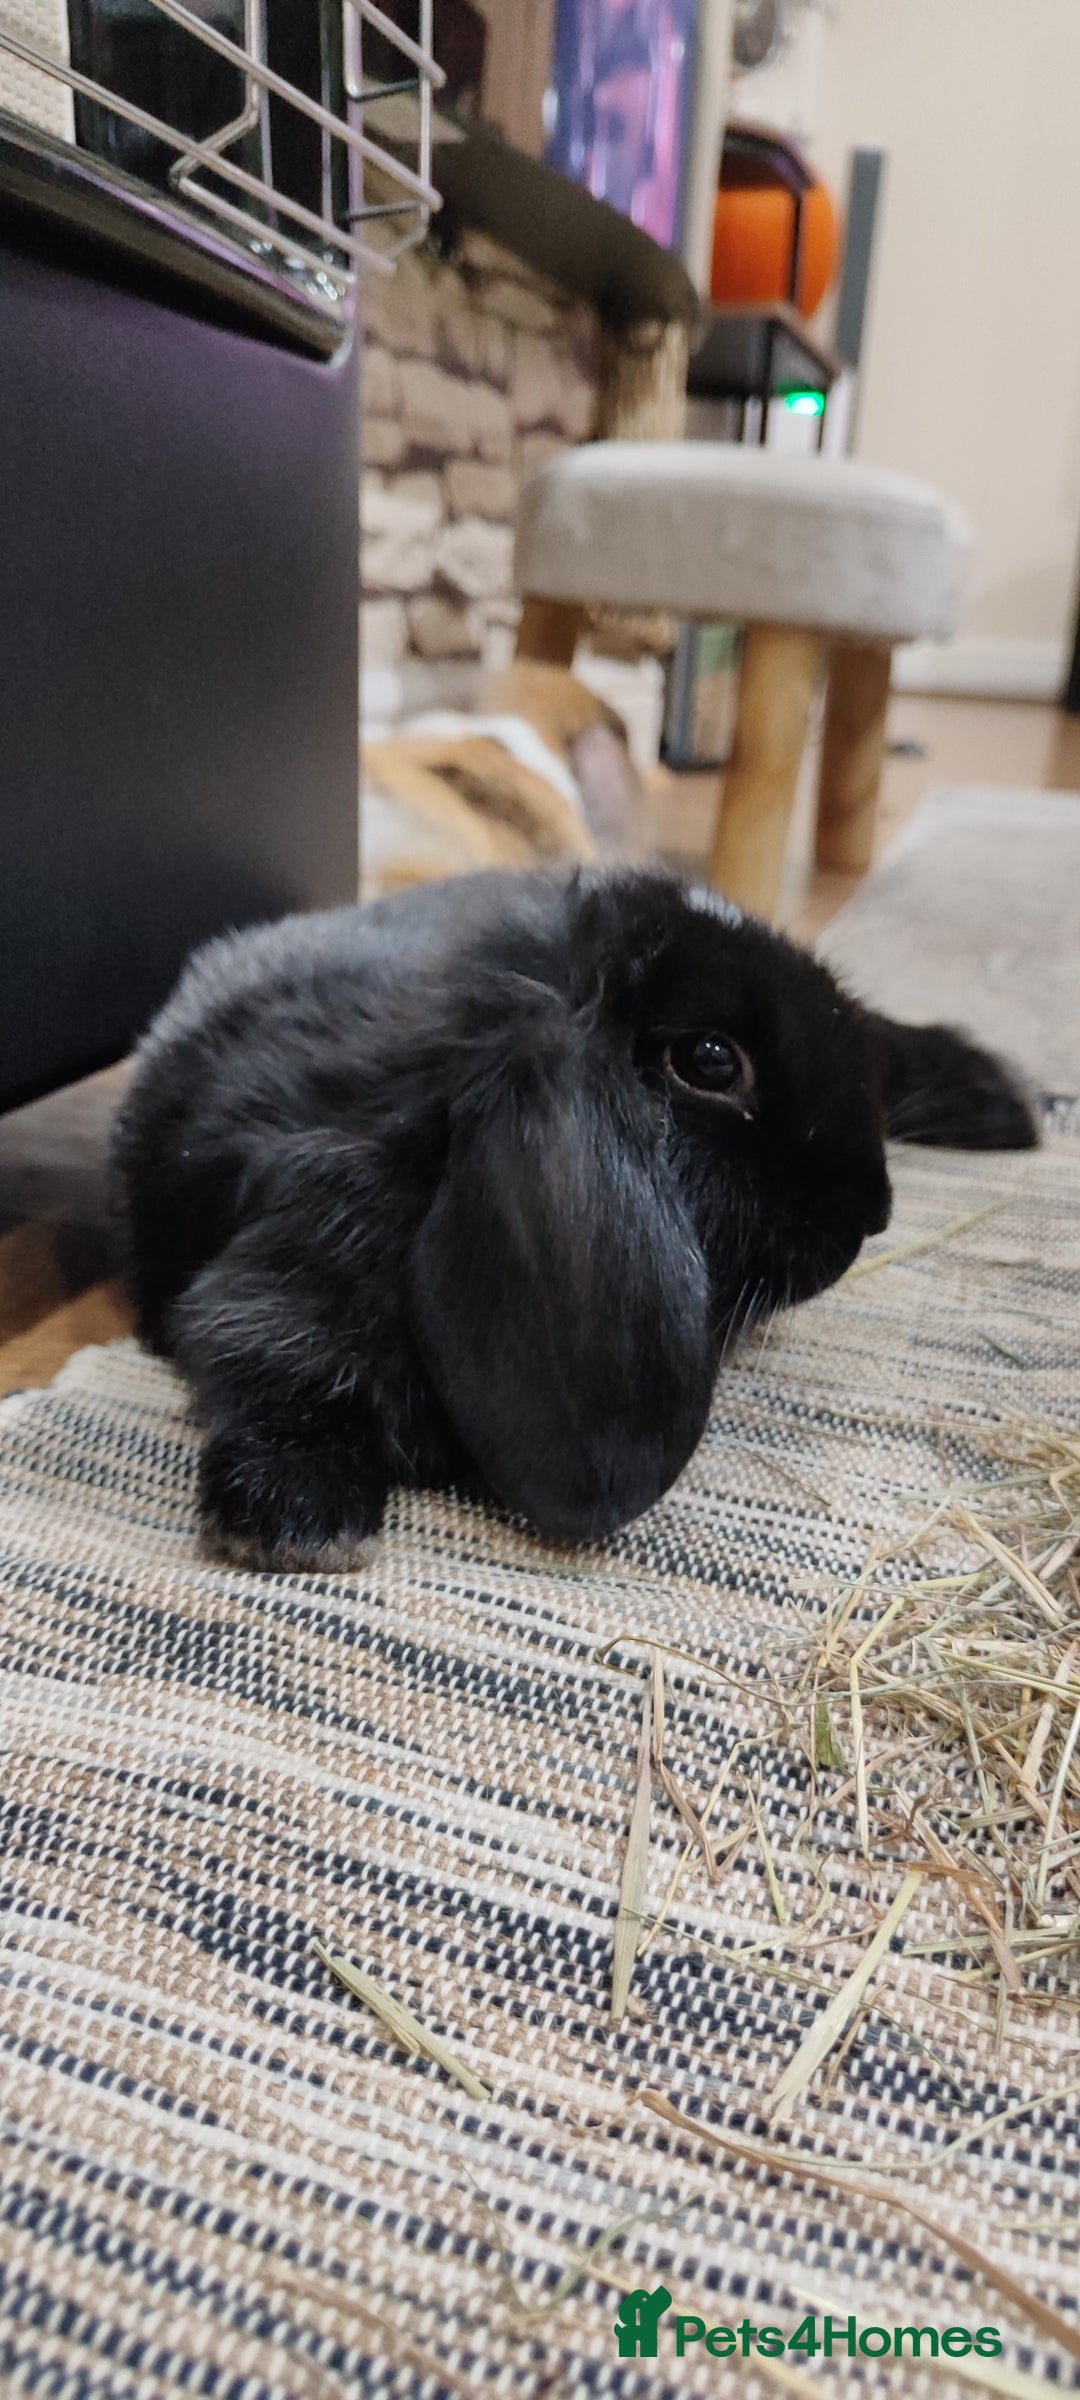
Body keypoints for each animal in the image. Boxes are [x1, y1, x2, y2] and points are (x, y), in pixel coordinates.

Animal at [112, 868, 1038, 1569]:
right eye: (709, 1061)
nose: (870, 1216)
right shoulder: (276, 1272)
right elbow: (265, 1354)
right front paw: (297, 1516)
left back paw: (1001, 1098)